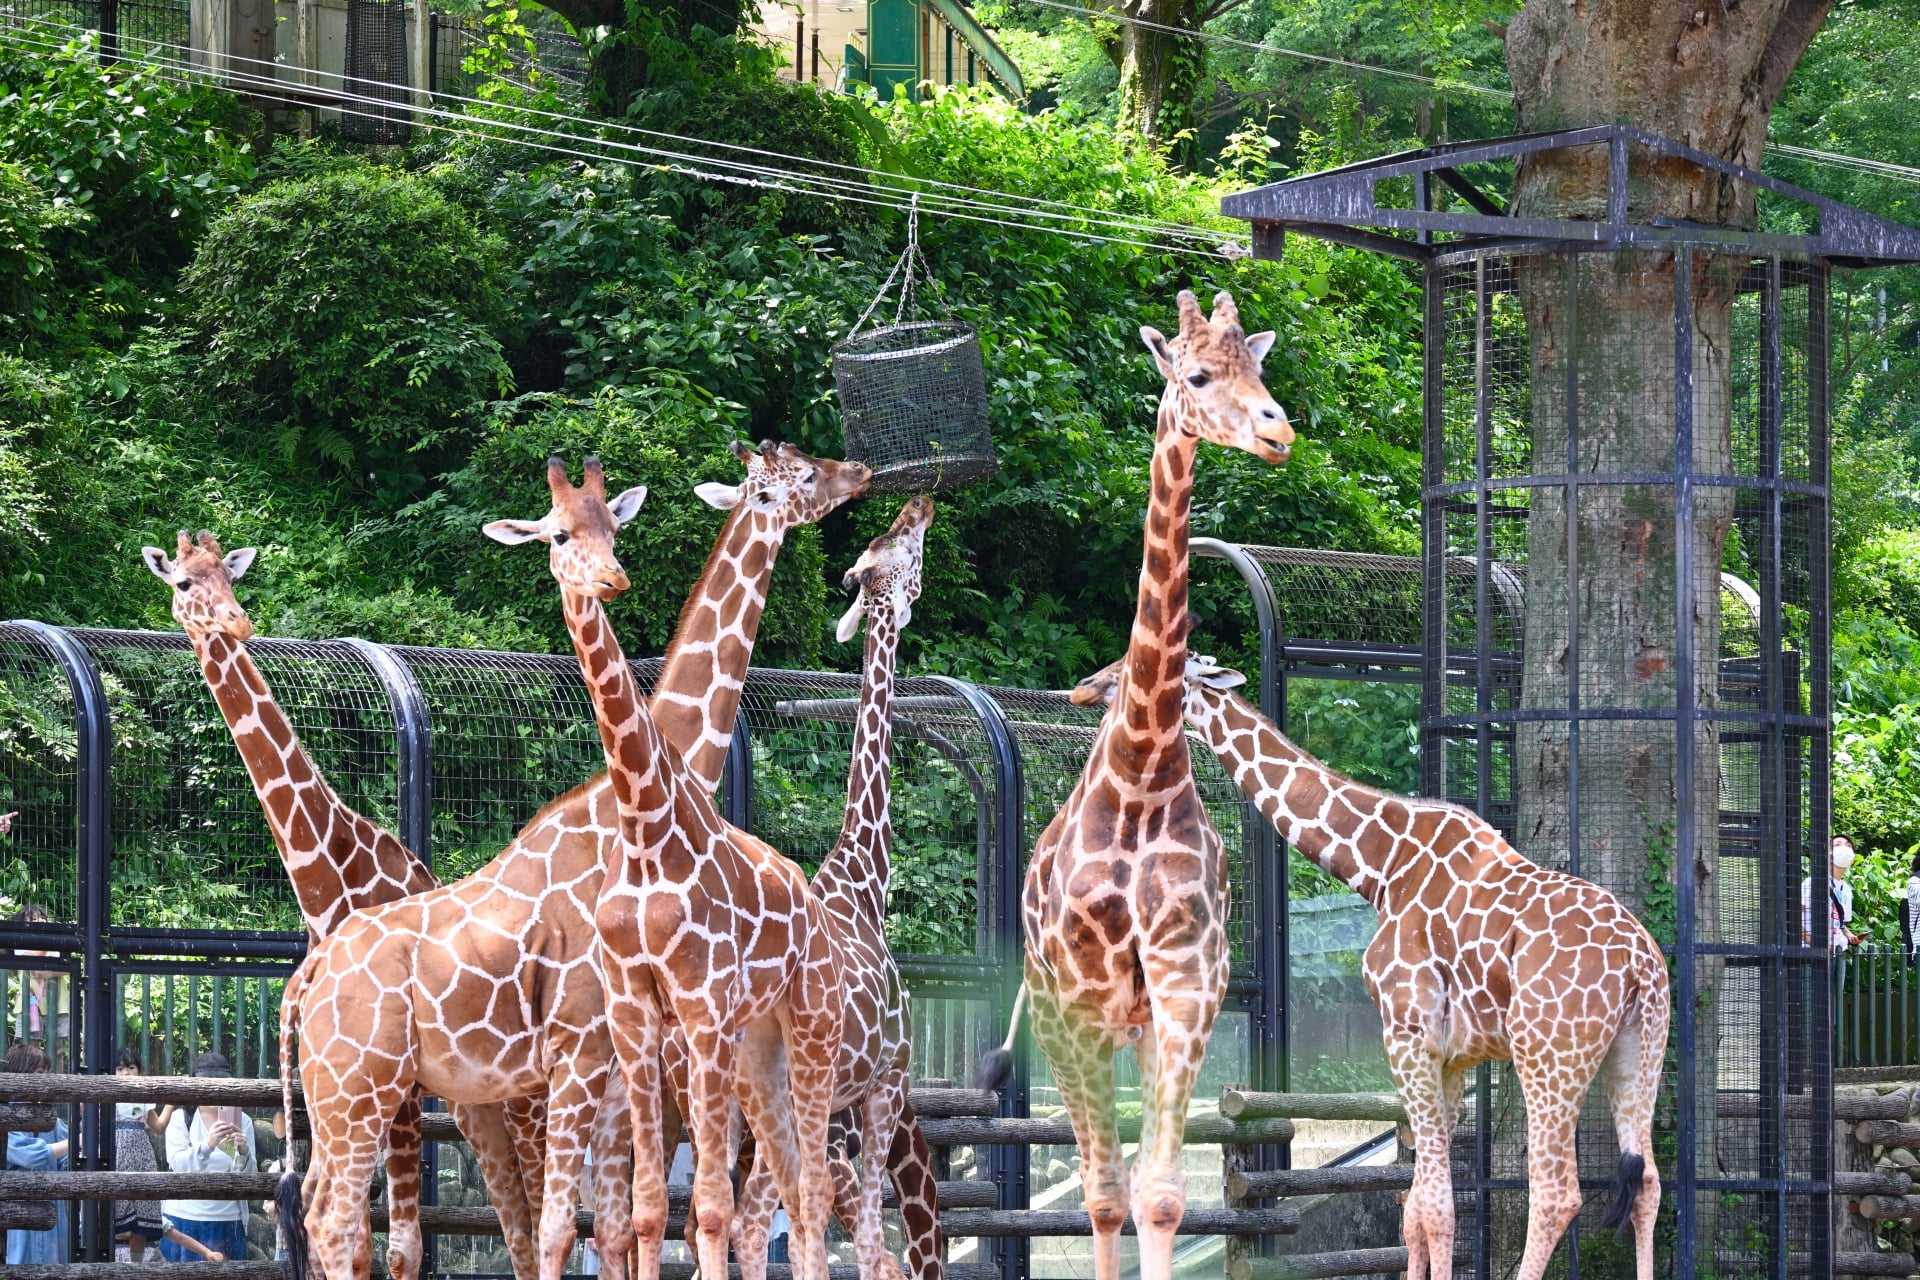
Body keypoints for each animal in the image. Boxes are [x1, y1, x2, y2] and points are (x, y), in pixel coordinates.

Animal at [140, 533, 541, 1280]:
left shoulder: (398, 1088)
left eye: (228, 577)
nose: (236, 621)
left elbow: (401, 1244)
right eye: (183, 582)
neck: (328, 880)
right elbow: (329, 1224)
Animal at [483, 458, 837, 1280]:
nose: (612, 578)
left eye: (615, 528)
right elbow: (627, 1220)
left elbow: (644, 1220)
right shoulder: (624, 1042)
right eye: (557, 533)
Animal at [1006, 287, 1290, 1280]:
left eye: (1260, 370)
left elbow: (1162, 1193)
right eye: (1197, 376)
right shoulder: (1087, 996)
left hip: (1132, 1023)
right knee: (1094, 1180)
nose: (1280, 431)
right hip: (1062, 1018)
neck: (1141, 774)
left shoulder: (1186, 982)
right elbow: (1104, 1192)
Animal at [1075, 656, 1674, 1280]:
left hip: (1547, 1054)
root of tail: (1640, 964)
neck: (1383, 867)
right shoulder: (1452, 1057)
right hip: (1638, 1048)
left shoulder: (1407, 1031)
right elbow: (1415, 1207)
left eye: (1133, 670)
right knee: (1648, 1183)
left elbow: (1433, 1206)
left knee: (1557, 1192)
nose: (1083, 689)